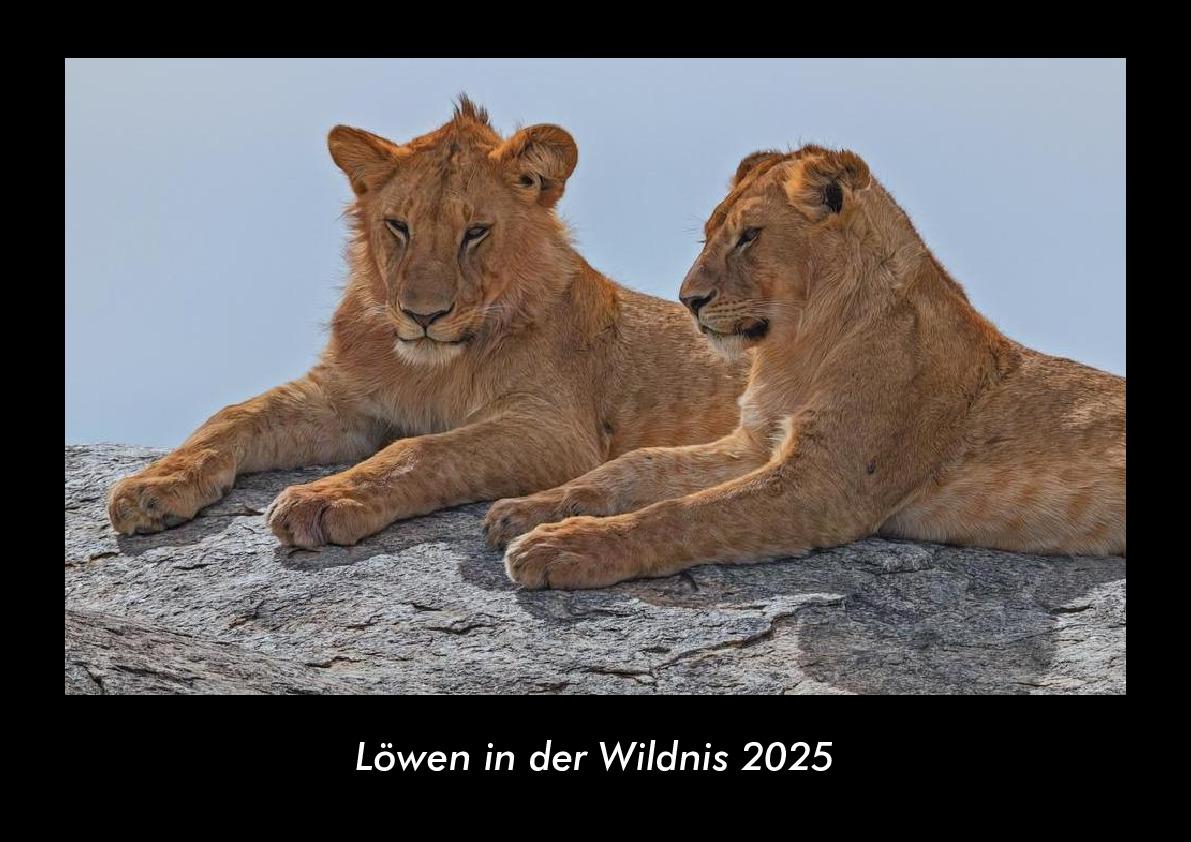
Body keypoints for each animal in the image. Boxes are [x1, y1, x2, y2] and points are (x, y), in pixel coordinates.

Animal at [107, 98, 747, 547]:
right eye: (399, 226)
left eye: (476, 232)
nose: (423, 315)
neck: (431, 367)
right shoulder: (344, 400)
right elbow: (234, 416)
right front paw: (152, 486)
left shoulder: (557, 430)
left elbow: (421, 450)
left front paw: (323, 500)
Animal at [491, 144, 1126, 589]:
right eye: (707, 236)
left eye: (749, 236)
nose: (688, 299)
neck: (796, 349)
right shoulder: (754, 443)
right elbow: (636, 466)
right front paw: (528, 508)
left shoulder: (826, 484)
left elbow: (682, 514)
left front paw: (563, 548)